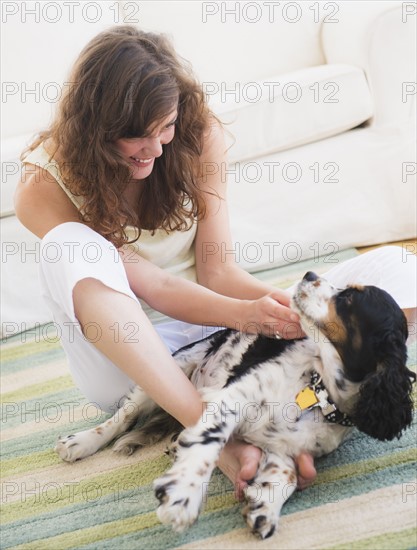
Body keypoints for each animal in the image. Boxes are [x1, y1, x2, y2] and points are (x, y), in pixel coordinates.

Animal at [54, 274, 412, 540]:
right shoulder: (232, 398)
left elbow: (288, 474)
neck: (317, 390)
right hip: (171, 368)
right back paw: (81, 442)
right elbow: (208, 442)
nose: (309, 274)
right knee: (121, 418)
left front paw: (266, 506)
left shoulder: (287, 449)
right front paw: (183, 494)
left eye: (349, 300)